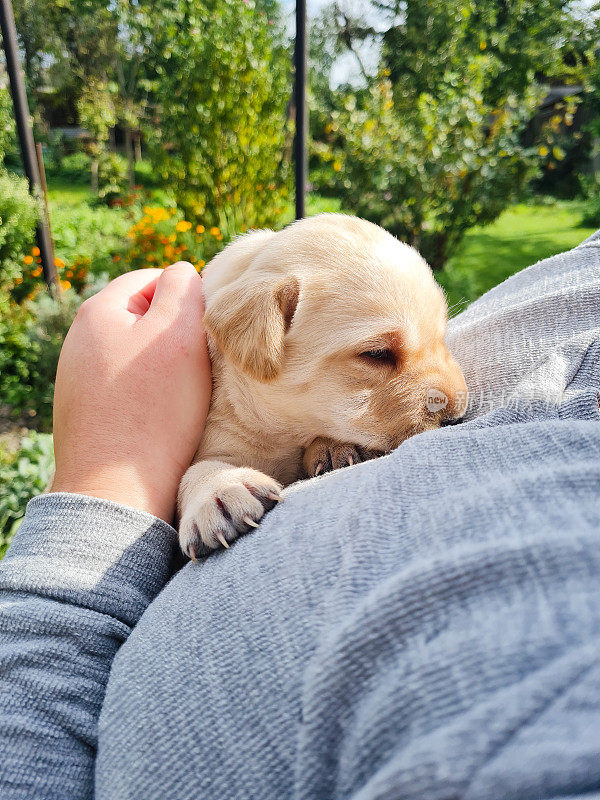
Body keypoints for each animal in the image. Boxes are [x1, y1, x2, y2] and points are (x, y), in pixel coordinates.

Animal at [176, 216, 466, 560]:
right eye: (377, 354)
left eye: (441, 338)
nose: (458, 416)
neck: (282, 429)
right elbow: (199, 469)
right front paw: (219, 490)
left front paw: (331, 447)